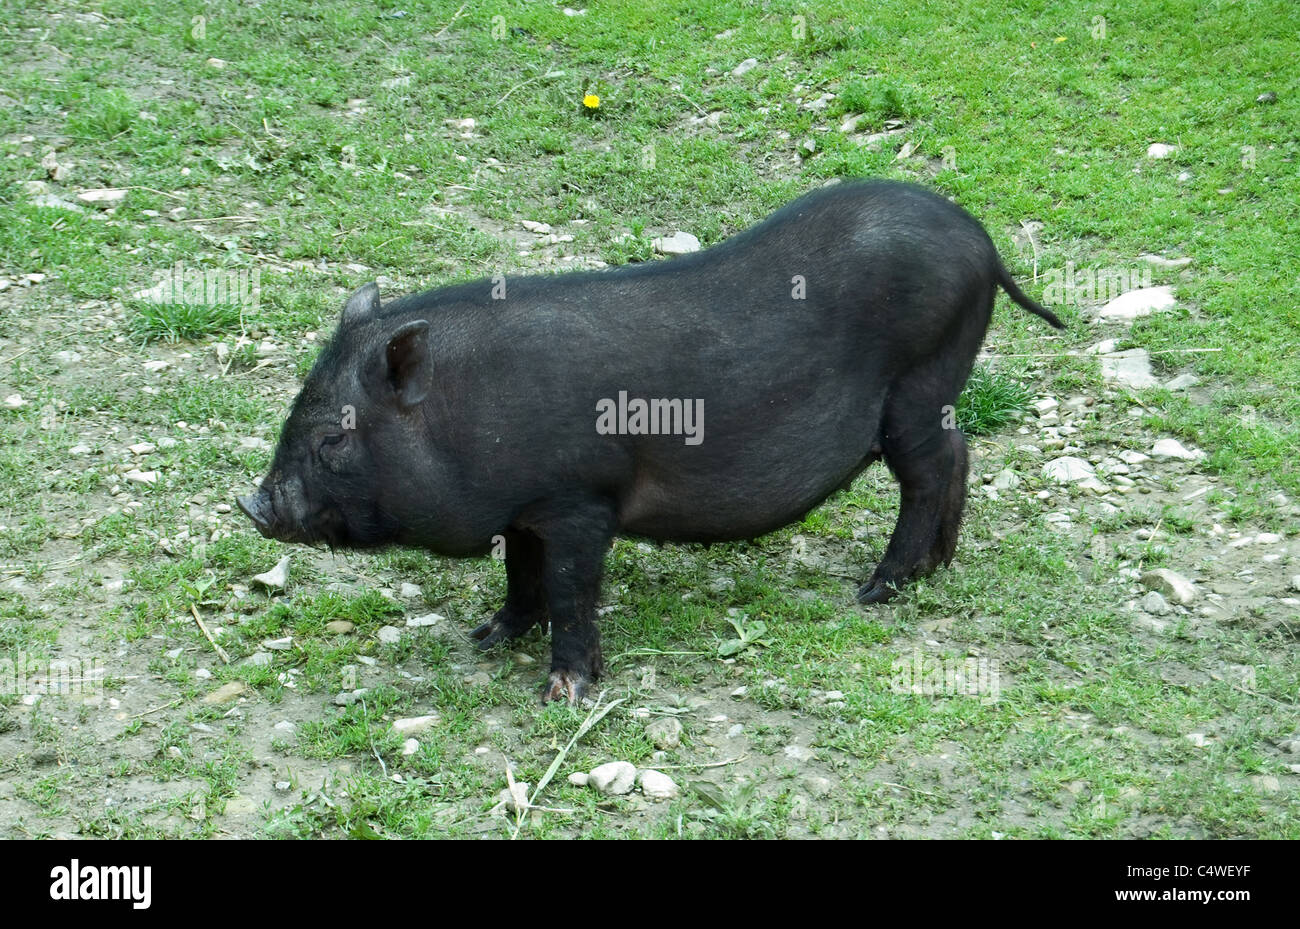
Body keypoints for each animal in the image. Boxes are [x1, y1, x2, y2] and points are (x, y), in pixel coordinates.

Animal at [238, 179, 1063, 703]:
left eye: (333, 436)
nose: (252, 504)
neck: (460, 412)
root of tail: (982, 241)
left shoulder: (580, 500)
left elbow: (571, 591)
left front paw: (563, 693)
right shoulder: (526, 512)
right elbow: (521, 579)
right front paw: (484, 637)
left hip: (921, 386)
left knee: (929, 472)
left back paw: (876, 588)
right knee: (959, 456)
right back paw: (934, 569)